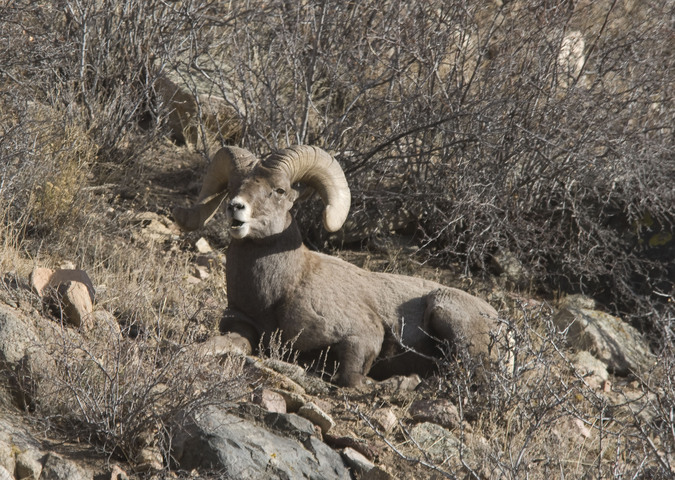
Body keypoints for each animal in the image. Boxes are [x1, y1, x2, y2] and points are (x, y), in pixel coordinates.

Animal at [174, 145, 502, 386]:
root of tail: (501, 323)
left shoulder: (362, 336)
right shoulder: (243, 328)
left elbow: (351, 379)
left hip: (445, 311)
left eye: (279, 190)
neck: (278, 293)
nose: (236, 208)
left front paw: (397, 383)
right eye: (232, 186)